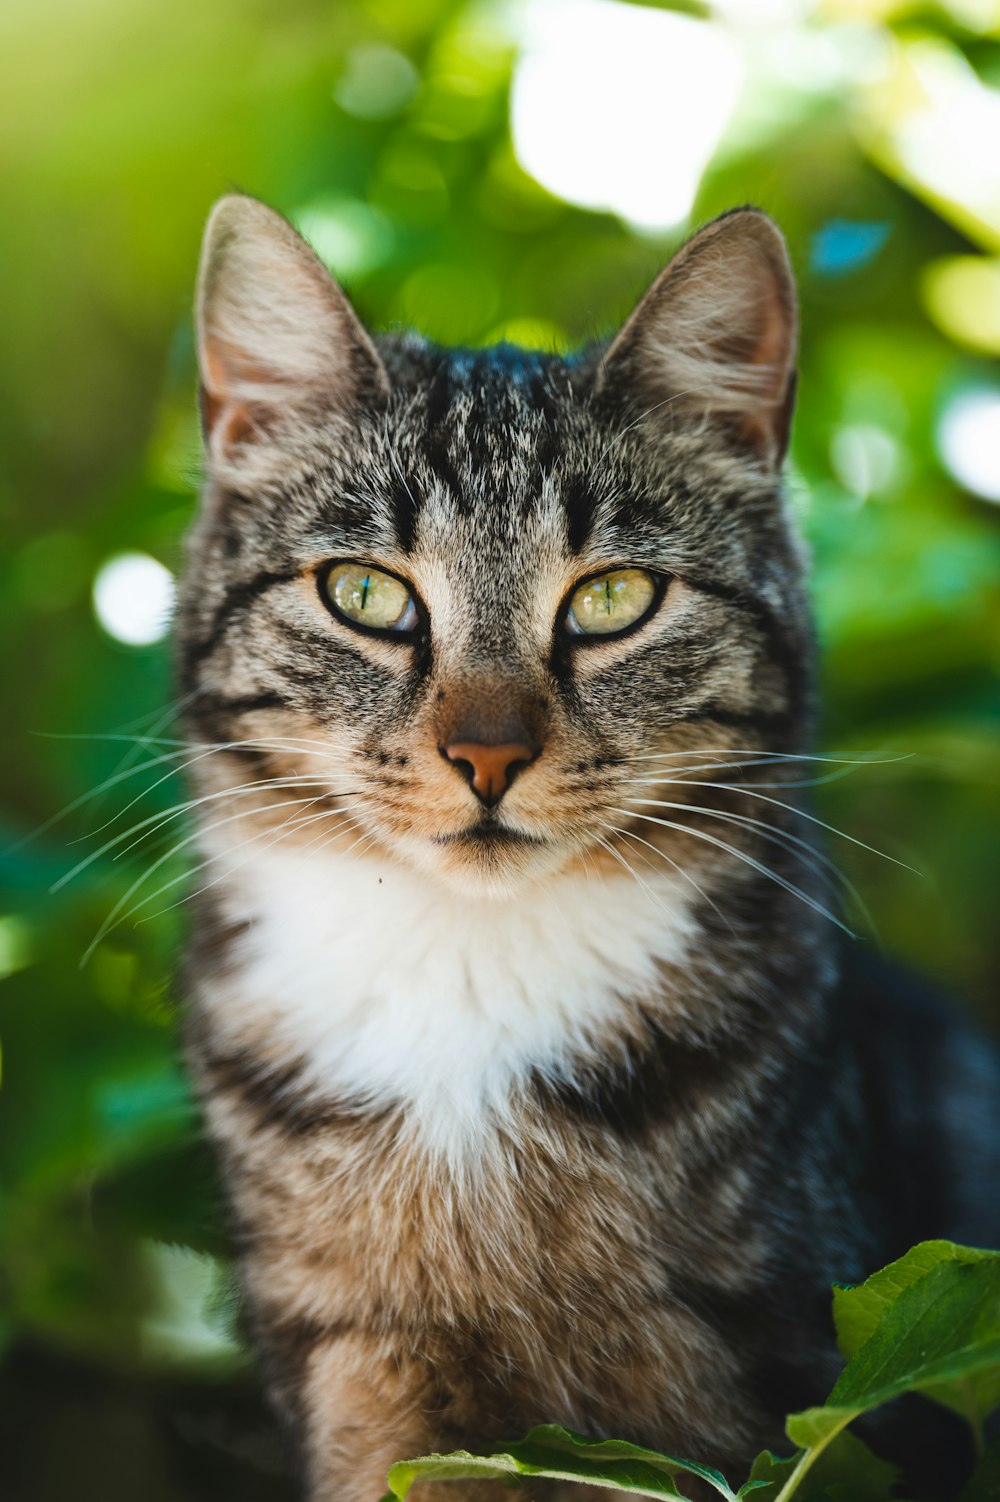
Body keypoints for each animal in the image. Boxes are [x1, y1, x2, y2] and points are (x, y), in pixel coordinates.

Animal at [177, 193, 996, 1495]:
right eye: (365, 593)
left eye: (612, 600)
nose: (486, 755)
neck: (467, 979)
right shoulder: (362, 1376)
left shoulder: (784, 1380)